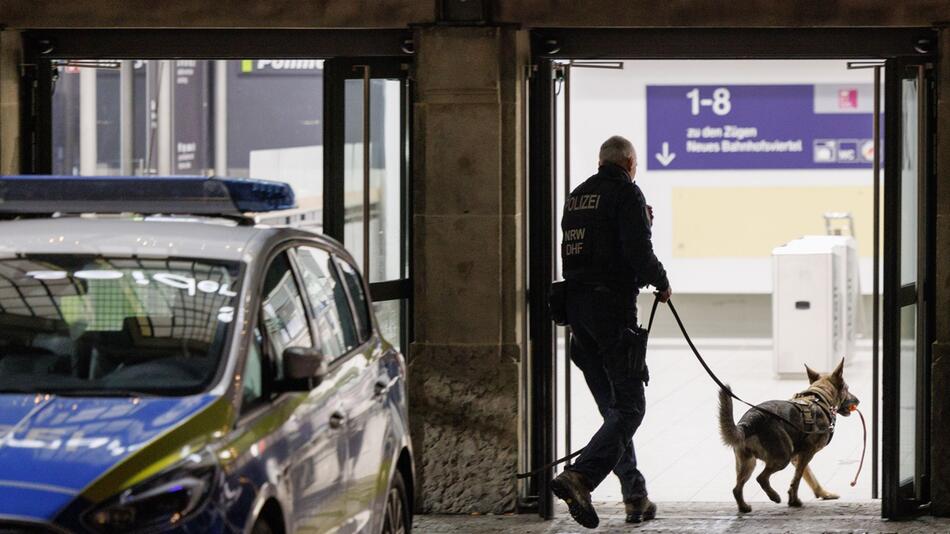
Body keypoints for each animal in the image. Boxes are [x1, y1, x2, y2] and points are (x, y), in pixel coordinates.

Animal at [720, 360, 864, 516]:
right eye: (847, 388)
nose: (858, 401)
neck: (820, 398)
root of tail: (752, 419)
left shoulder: (798, 457)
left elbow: (810, 477)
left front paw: (823, 494)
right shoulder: (806, 454)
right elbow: (797, 479)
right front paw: (794, 501)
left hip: (748, 462)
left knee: (736, 489)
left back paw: (743, 507)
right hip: (782, 458)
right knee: (761, 478)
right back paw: (774, 496)